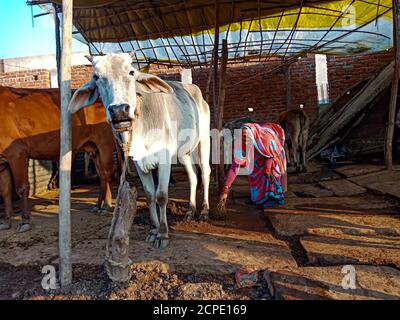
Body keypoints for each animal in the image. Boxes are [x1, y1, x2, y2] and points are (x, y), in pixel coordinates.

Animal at [0, 86, 115, 231]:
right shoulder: (2, 162)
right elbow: (5, 191)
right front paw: (6, 222)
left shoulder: (17, 153)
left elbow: (21, 188)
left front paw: (25, 221)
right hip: (94, 150)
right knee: (102, 176)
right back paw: (97, 206)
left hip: (105, 144)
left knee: (108, 173)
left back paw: (106, 206)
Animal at [69, 52, 211, 249]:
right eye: (96, 77)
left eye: (131, 72)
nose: (119, 111)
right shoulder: (138, 162)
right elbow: (150, 195)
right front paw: (153, 230)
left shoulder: (164, 158)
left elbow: (161, 195)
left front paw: (162, 234)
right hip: (184, 153)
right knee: (193, 177)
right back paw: (190, 211)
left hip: (203, 141)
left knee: (205, 173)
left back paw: (204, 211)